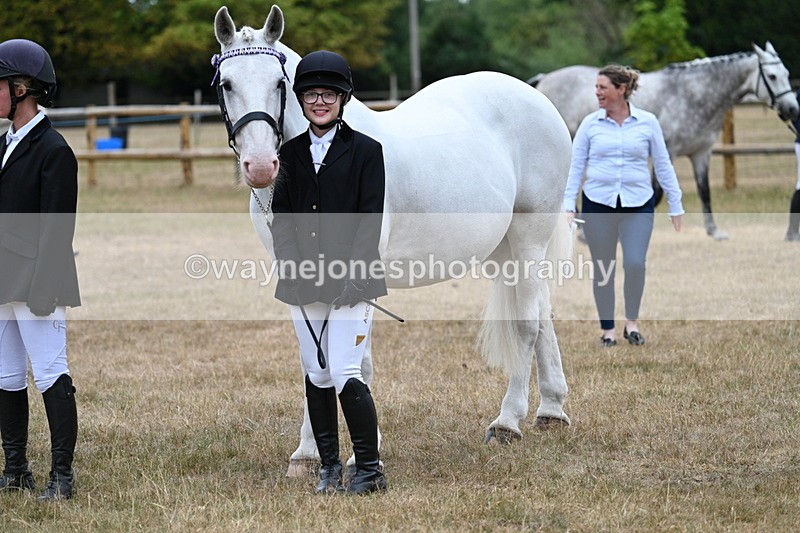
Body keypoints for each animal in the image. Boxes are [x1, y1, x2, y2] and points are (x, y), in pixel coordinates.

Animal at [213, 4, 574, 476]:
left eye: (279, 82)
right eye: (227, 83)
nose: (260, 166)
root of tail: (538, 99)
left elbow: (354, 357)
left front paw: (362, 453)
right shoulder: (296, 271)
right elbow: (313, 355)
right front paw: (307, 454)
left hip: (531, 235)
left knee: (527, 323)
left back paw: (508, 422)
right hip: (504, 247)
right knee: (543, 312)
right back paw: (552, 409)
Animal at [530, 44, 799, 241]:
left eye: (787, 74)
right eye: (772, 76)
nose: (792, 109)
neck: (695, 94)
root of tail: (544, 80)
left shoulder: (701, 153)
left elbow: (704, 191)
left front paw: (714, 231)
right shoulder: (669, 151)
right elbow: (657, 193)